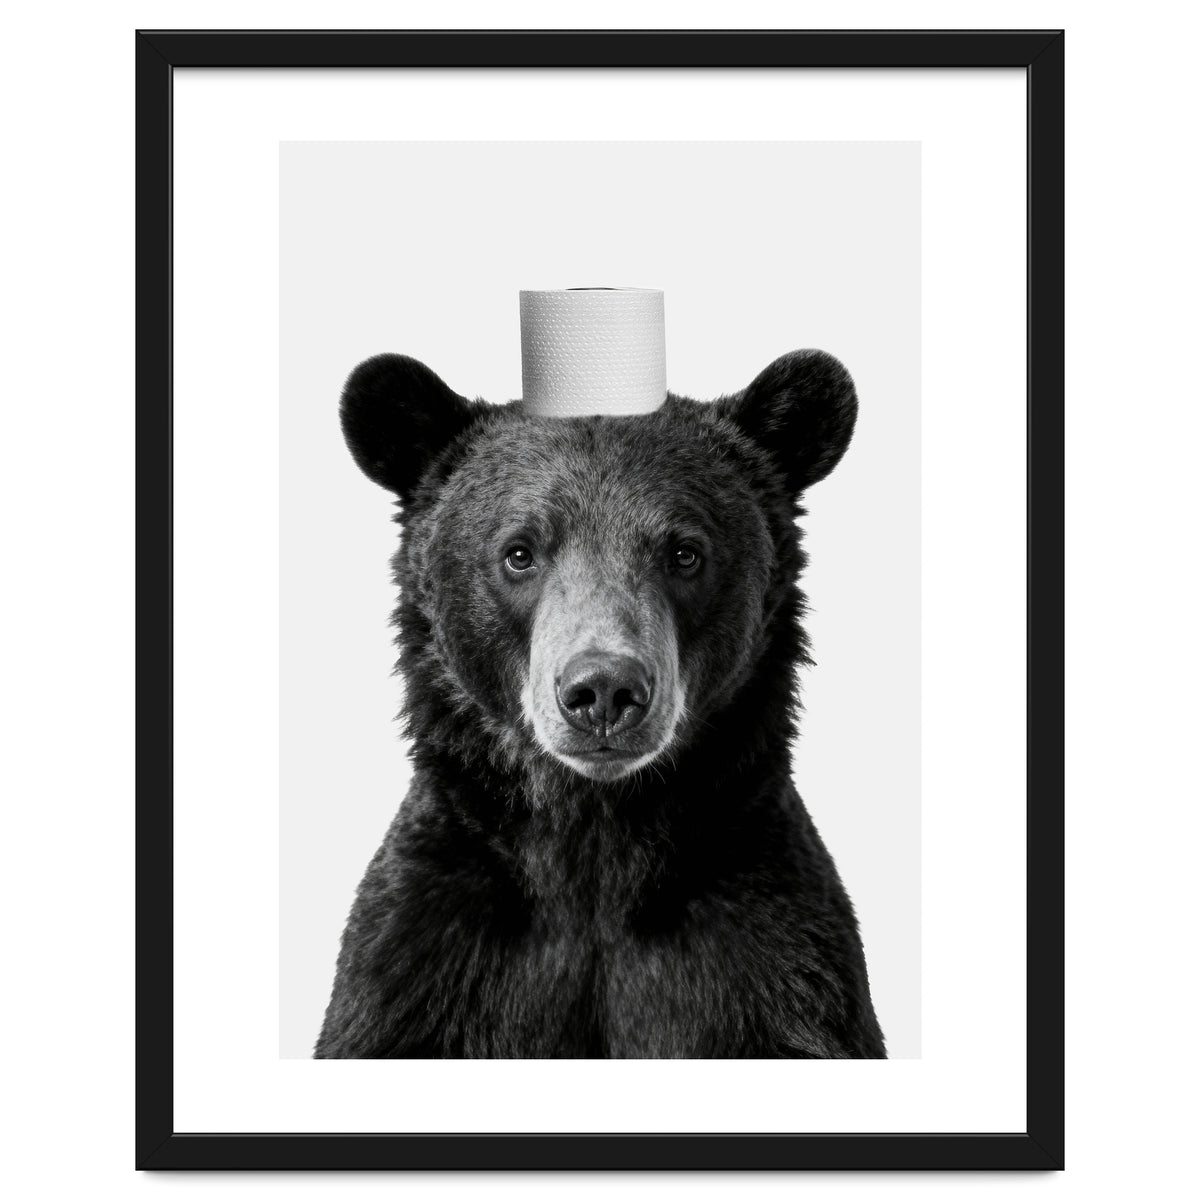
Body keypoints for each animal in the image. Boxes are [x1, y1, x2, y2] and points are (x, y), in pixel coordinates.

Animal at [315, 348, 886, 1059]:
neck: (594, 840)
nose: (604, 691)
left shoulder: (773, 958)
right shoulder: (424, 958)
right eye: (519, 552)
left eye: (684, 552)